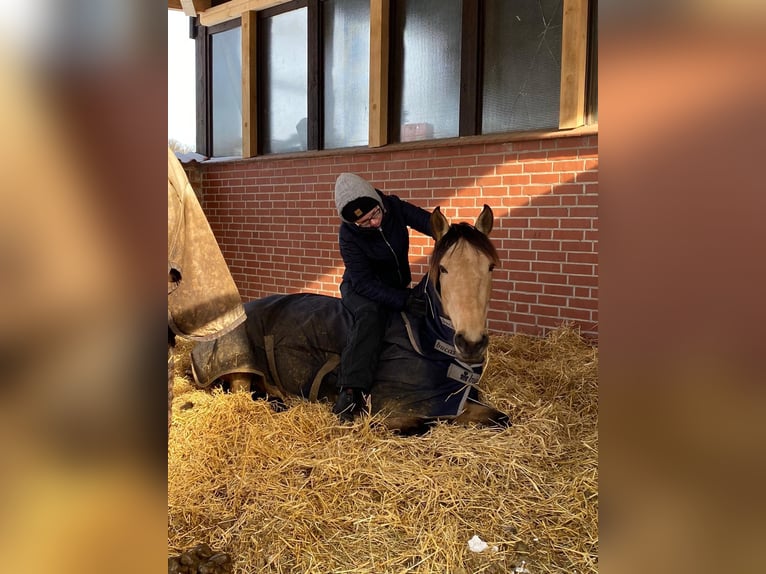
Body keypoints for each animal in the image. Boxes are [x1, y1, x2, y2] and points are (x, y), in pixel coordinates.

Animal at [191, 205, 512, 434]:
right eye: (443, 269)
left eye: (491, 267)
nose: (471, 343)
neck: (423, 338)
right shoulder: (392, 411)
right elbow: (426, 424)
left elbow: (501, 418)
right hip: (239, 369)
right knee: (243, 395)